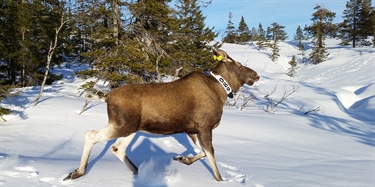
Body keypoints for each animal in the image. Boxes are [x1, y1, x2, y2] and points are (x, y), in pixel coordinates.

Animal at [64, 48, 258, 181]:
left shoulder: (192, 130)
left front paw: (182, 158)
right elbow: (211, 156)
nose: (255, 75)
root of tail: (107, 96)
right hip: (122, 125)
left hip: (131, 128)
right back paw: (78, 172)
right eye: (238, 64)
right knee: (91, 134)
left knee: (118, 148)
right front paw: (220, 180)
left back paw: (138, 172)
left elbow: (204, 151)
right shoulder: (204, 126)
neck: (221, 92)